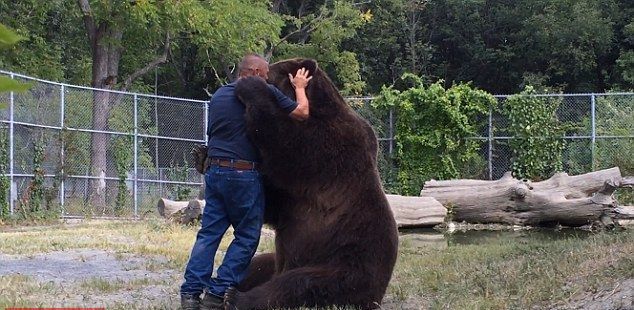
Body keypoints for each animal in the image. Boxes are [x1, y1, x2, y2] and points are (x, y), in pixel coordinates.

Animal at [232, 58, 398, 310]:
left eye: (269, 73)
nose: (238, 78)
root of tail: (378, 294)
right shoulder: (293, 198)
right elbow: (272, 203)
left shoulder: (327, 153)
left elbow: (288, 142)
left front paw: (250, 87)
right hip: (283, 263)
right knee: (260, 264)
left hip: (346, 263)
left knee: (299, 284)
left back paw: (236, 298)